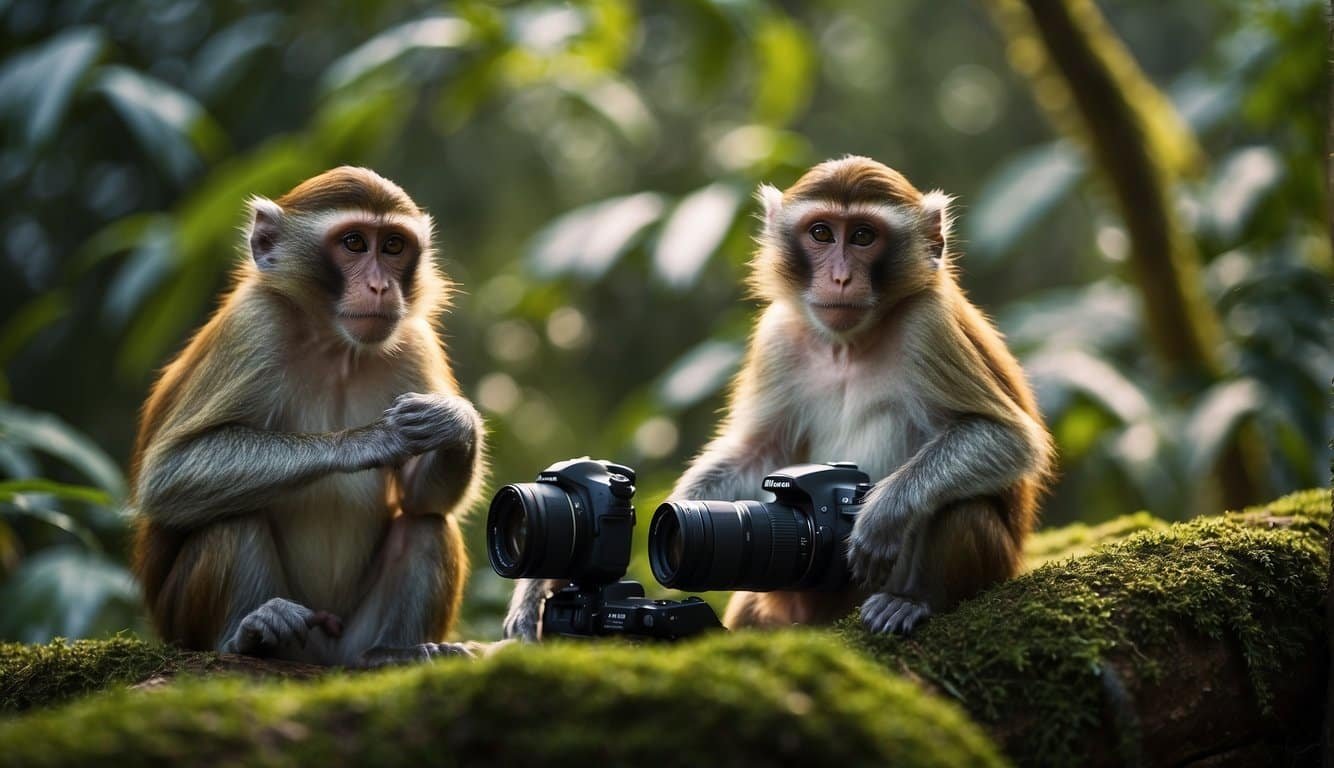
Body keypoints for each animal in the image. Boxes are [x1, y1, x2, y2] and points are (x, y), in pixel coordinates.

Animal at [127, 166, 485, 666]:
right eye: (354, 243)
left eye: (393, 246)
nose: (381, 287)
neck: (335, 346)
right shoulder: (255, 325)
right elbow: (167, 476)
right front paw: (369, 440)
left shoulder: (413, 340)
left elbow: (423, 499)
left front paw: (454, 422)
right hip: (188, 622)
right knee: (231, 519)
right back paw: (249, 635)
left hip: (347, 640)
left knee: (426, 527)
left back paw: (397, 652)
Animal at [667, 157, 1051, 634]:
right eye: (821, 233)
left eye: (864, 236)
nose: (841, 277)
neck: (848, 346)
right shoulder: (778, 336)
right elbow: (759, 450)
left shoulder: (928, 325)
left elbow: (1007, 437)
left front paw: (882, 512)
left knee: (964, 508)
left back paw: (912, 600)